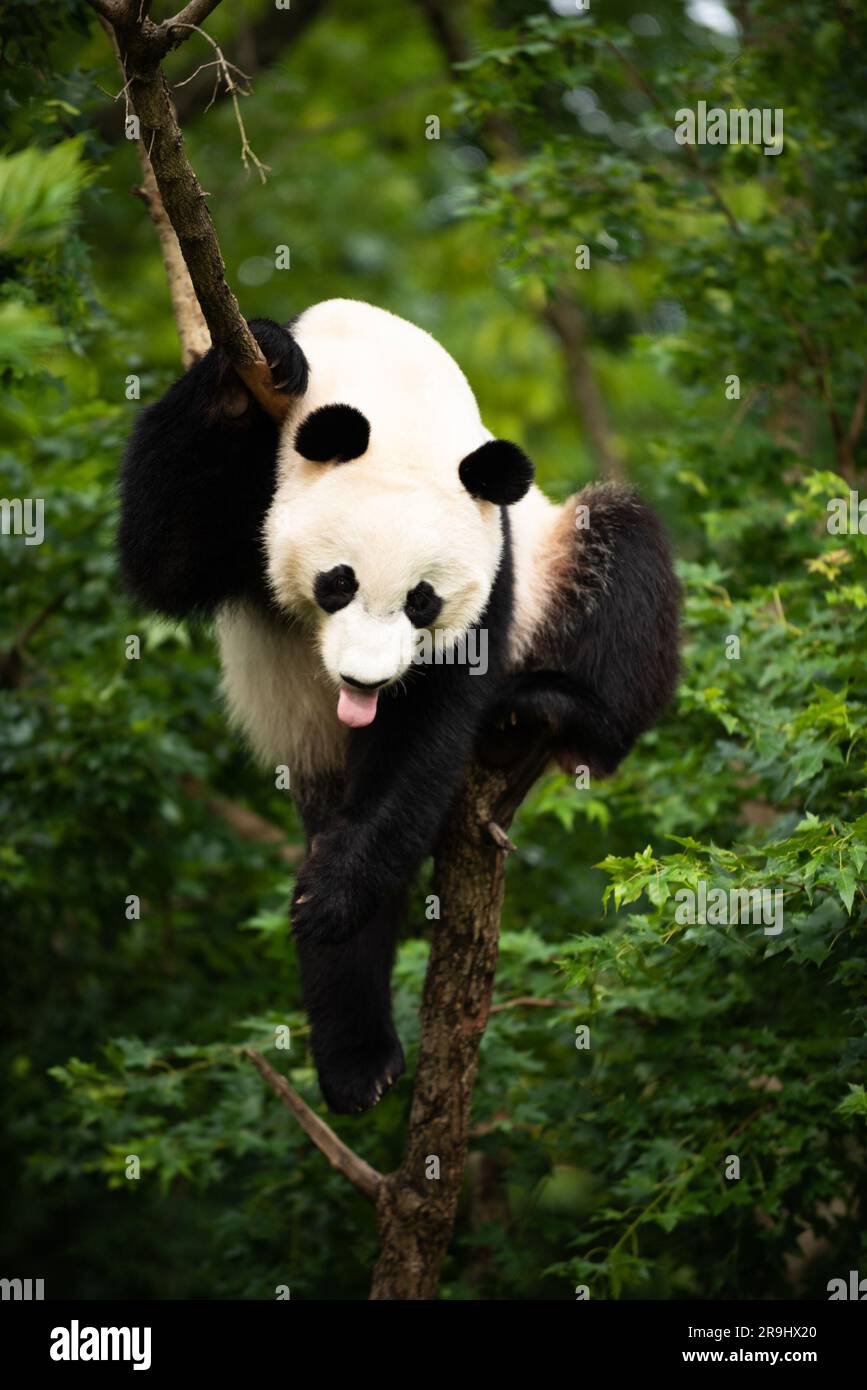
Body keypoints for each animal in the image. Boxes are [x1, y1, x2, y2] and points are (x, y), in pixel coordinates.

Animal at [119, 298, 680, 1114]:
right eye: (337, 582)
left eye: (423, 601)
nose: (365, 685)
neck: (396, 392)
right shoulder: (260, 480)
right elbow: (163, 555)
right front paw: (260, 358)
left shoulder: (498, 563)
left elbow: (427, 730)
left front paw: (331, 897)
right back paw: (359, 1062)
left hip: (557, 569)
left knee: (623, 549)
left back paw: (551, 717)